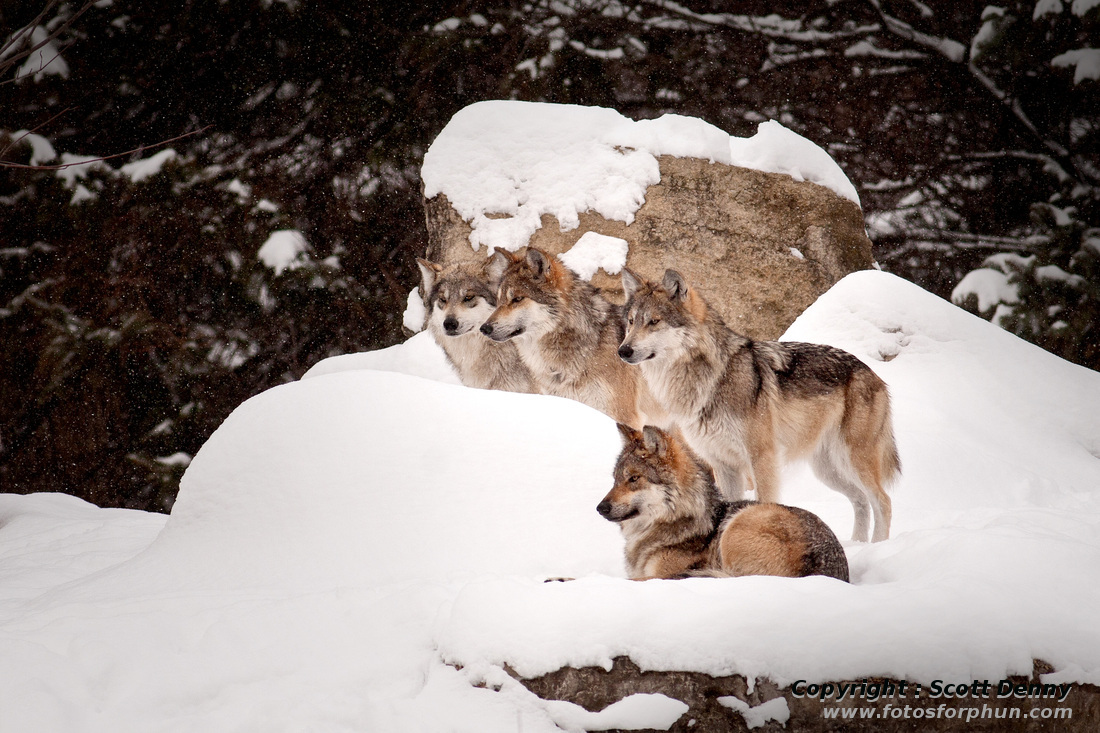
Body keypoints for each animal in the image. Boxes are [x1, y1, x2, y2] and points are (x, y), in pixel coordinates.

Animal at [616, 265, 897, 539]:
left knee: (883, 501)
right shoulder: (723, 465)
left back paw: (877, 545)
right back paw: (858, 544)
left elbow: (764, 502)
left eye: (654, 321)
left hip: (854, 460)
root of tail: (873, 374)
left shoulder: (762, 458)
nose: (623, 351)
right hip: (827, 470)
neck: (712, 378)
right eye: (631, 322)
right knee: (860, 500)